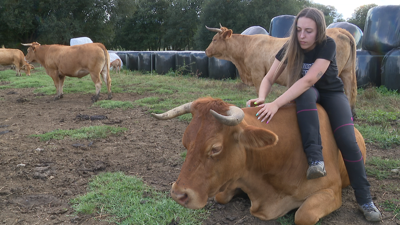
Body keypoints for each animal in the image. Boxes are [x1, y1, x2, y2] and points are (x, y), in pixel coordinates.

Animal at [152, 97, 366, 225]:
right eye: (185, 142)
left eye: (215, 148)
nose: (178, 194)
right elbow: (221, 195)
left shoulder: (332, 189)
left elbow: (303, 215)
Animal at [206, 25, 356, 114]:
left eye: (214, 39)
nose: (206, 51)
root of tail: (340, 30)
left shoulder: (257, 73)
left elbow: (260, 93)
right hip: (347, 72)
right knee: (350, 93)